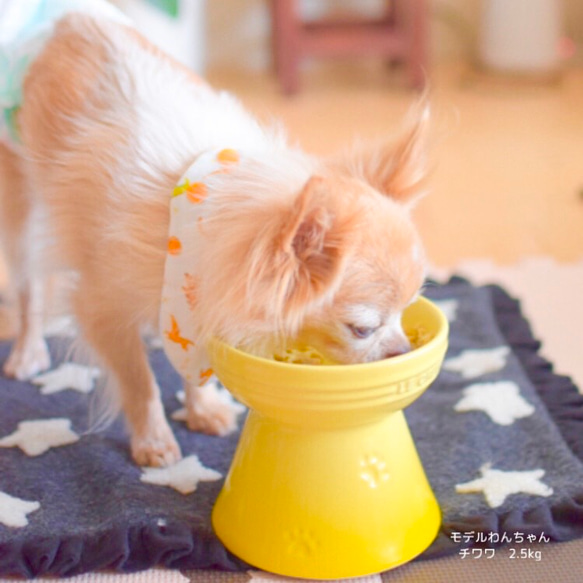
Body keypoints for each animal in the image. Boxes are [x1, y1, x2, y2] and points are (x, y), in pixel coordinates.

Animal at [0, 5, 428, 470]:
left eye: (406, 311)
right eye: (362, 330)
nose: (403, 350)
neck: (195, 207)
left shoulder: (196, 299)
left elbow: (193, 359)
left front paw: (202, 408)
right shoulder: (101, 308)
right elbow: (139, 381)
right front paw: (154, 439)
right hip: (21, 200)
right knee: (29, 284)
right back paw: (27, 351)